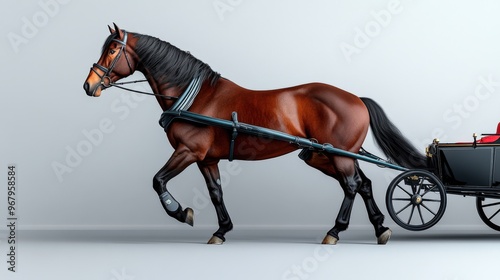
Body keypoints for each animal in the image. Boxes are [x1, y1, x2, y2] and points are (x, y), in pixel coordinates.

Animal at [82, 24, 426, 245]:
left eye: (112, 50)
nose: (89, 85)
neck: (194, 96)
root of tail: (356, 98)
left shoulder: (188, 151)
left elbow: (158, 181)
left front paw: (180, 212)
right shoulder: (207, 159)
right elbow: (216, 193)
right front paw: (221, 230)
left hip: (336, 155)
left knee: (352, 185)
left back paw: (335, 231)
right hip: (324, 155)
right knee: (363, 184)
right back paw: (380, 229)